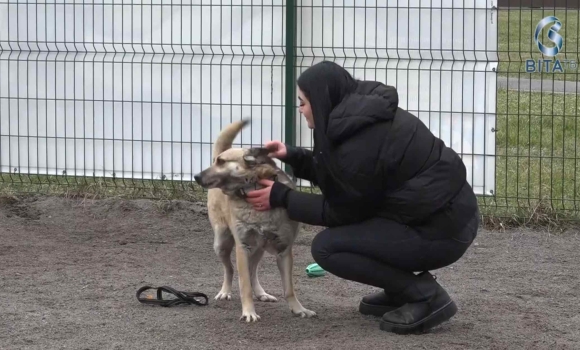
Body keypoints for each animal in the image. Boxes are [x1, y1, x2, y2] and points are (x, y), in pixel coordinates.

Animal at [193, 118, 314, 322]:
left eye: (221, 162)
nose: (195, 176)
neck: (253, 188)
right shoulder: (242, 247)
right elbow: (244, 285)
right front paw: (249, 312)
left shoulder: (284, 250)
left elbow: (289, 289)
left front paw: (299, 309)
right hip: (222, 243)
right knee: (230, 269)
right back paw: (225, 291)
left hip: (258, 250)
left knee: (252, 271)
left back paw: (261, 293)